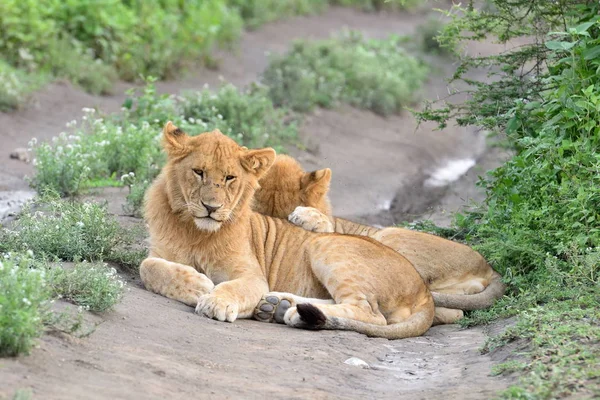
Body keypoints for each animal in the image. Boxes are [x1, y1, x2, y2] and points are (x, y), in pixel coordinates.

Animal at [139, 123, 436, 340]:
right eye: (198, 172)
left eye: (229, 178)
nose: (211, 207)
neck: (196, 232)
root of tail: (424, 292)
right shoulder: (159, 252)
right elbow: (148, 267)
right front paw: (198, 285)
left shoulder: (252, 276)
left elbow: (232, 287)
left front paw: (214, 300)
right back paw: (279, 304)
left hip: (325, 246)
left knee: (371, 313)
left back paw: (292, 313)